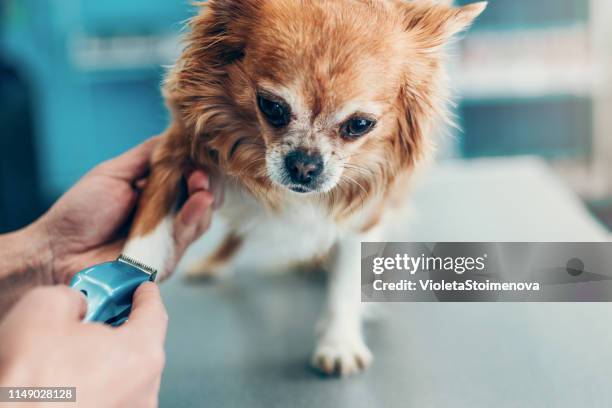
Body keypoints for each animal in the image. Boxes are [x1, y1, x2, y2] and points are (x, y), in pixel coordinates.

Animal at [125, 0, 488, 376]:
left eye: (360, 125)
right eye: (271, 107)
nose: (304, 165)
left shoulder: (364, 211)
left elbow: (345, 282)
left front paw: (339, 342)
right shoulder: (176, 154)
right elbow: (145, 234)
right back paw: (215, 262)